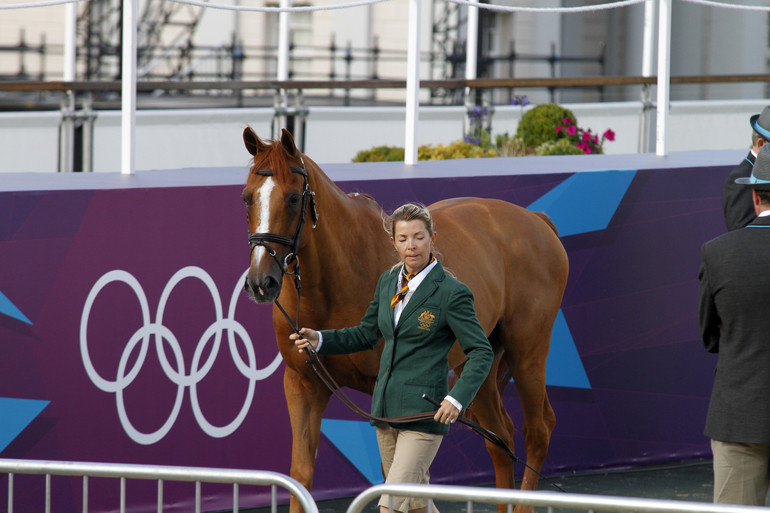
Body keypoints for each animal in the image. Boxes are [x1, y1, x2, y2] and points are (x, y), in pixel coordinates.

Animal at [243, 128, 568, 512]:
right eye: (247, 198)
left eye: (294, 198)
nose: (261, 281)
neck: (340, 275)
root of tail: (537, 221)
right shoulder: (303, 384)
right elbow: (300, 476)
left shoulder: (383, 396)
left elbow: (392, 476)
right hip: (479, 363)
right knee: (500, 439)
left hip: (528, 350)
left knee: (538, 431)